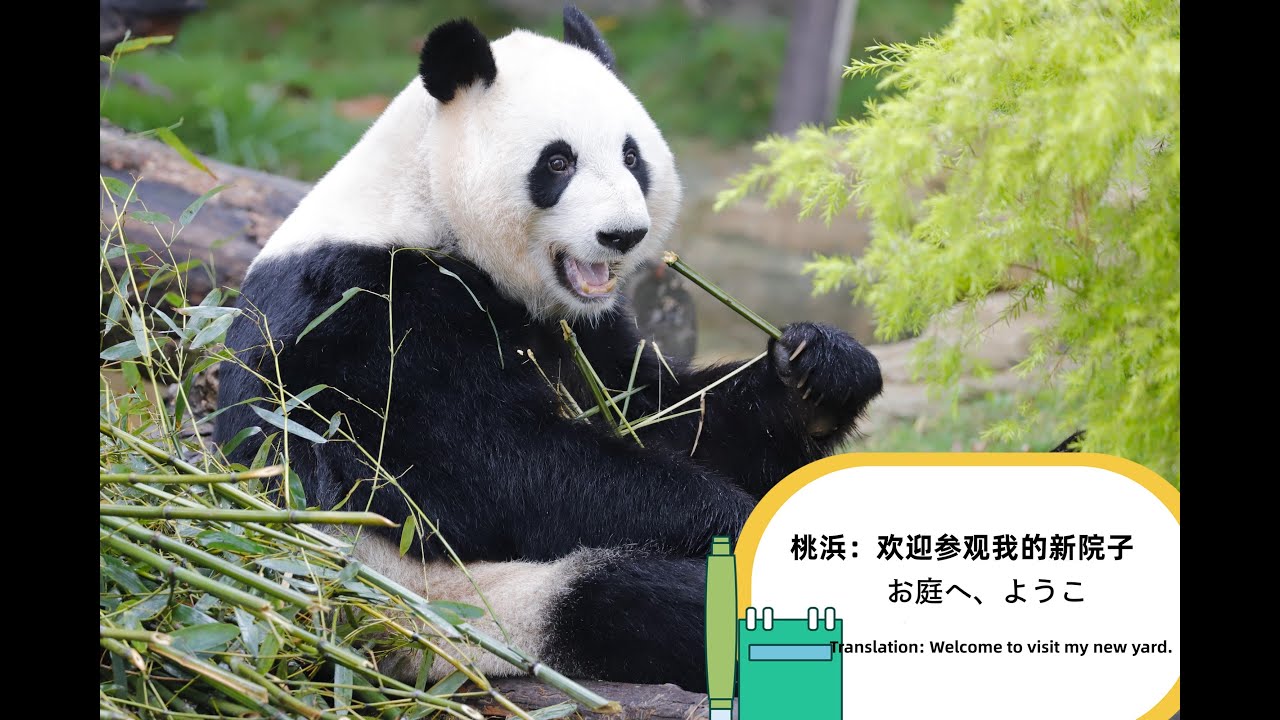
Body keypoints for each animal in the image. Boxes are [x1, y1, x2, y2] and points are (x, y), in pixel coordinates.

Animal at [215, 6, 883, 694]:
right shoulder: (361, 315)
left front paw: (821, 372)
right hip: (458, 609)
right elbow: (480, 468)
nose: (623, 235)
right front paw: (733, 516)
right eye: (557, 163)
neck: (425, 201)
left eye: (632, 156)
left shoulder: (587, 328)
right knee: (642, 599)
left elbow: (666, 412)